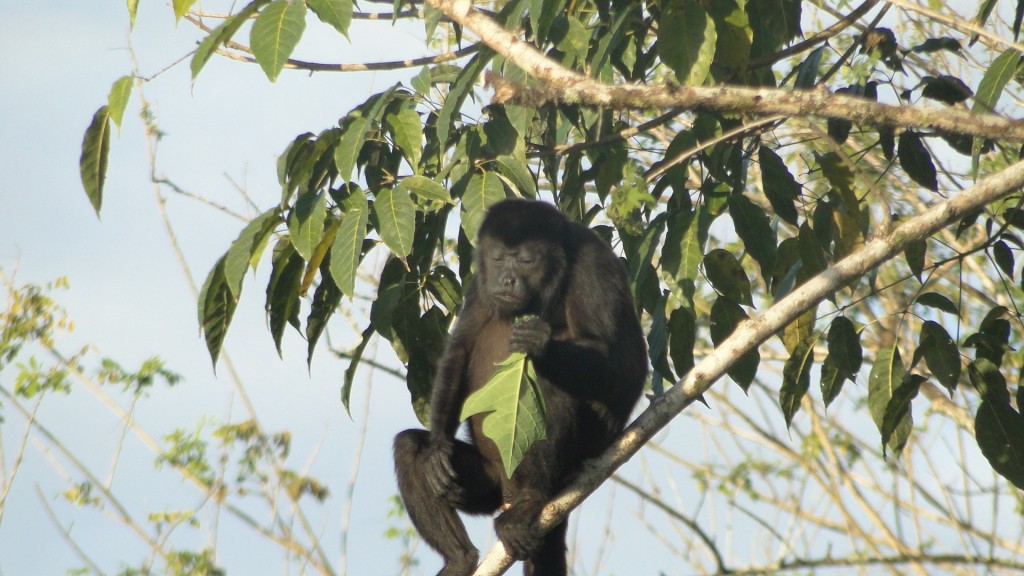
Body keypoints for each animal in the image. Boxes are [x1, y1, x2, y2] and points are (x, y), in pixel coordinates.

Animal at [393, 199, 647, 576]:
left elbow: (621, 364)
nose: (507, 279)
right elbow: (461, 347)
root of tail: (510, 489)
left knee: (549, 388)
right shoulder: (480, 280)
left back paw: (532, 499)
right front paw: (437, 448)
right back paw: (459, 558)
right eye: (499, 258)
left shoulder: (595, 266)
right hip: (489, 483)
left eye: (527, 260)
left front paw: (538, 344)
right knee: (409, 447)